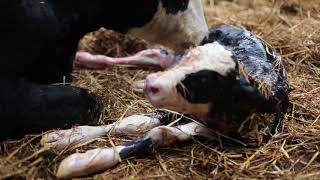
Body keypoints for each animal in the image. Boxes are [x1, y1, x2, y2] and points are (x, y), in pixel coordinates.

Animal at [42, 25, 290, 179]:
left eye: (202, 81)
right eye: (190, 58)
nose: (153, 83)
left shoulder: (215, 131)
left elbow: (157, 133)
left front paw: (84, 160)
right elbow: (135, 122)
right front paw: (64, 138)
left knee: (156, 56)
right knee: (155, 54)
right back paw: (88, 58)